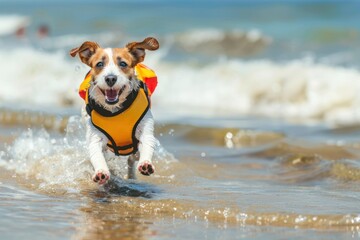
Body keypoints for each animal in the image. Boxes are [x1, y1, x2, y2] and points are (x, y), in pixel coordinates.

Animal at [70, 36, 159, 185]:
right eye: (99, 64)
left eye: (123, 64)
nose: (110, 78)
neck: (115, 111)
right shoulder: (95, 138)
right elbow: (97, 155)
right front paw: (101, 171)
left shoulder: (145, 130)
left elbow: (147, 143)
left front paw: (146, 163)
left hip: (134, 151)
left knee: (132, 159)